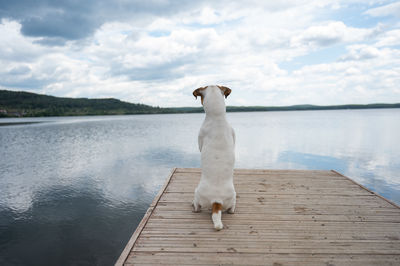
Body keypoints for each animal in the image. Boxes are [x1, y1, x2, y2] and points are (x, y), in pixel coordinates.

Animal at [191, 85, 236, 231]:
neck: (217, 117)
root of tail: (217, 200)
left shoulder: (200, 137)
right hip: (233, 197)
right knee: (232, 208)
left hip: (197, 194)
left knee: (197, 206)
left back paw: (194, 207)